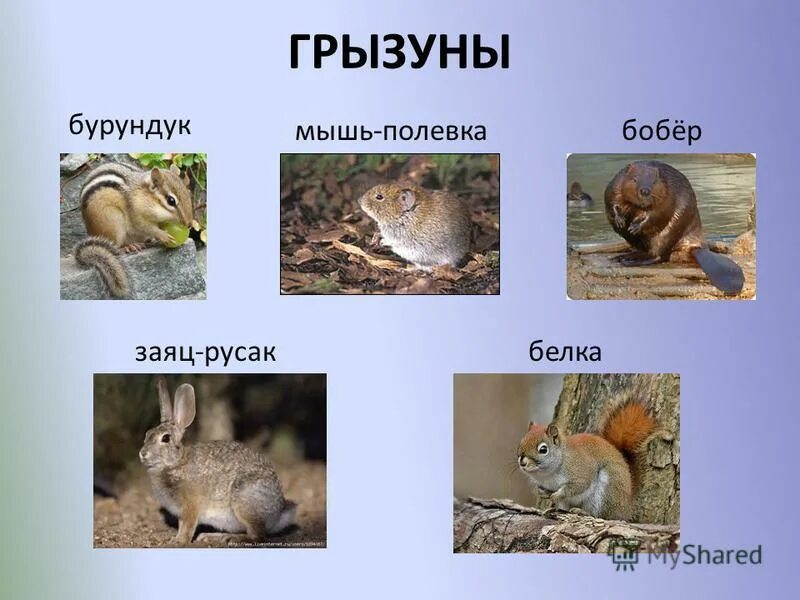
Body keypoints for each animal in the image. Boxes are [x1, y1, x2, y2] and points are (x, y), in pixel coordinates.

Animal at [74, 162, 194, 298]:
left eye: (188, 193)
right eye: (171, 201)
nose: (189, 224)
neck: (143, 195)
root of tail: (90, 232)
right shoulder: (136, 216)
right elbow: (147, 227)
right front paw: (163, 236)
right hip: (113, 222)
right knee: (115, 244)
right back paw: (128, 246)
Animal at [139, 377, 297, 545]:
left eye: (165, 438)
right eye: (147, 434)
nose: (142, 454)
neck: (176, 463)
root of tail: (279, 512)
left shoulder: (191, 506)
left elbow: (188, 526)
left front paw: (178, 541)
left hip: (243, 501)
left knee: (257, 535)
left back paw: (230, 539)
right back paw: (211, 536)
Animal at [517, 399, 657, 521]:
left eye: (543, 449)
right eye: (521, 442)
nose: (522, 462)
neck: (547, 475)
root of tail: (627, 508)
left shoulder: (580, 471)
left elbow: (577, 486)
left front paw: (557, 495)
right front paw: (542, 492)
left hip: (607, 492)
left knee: (602, 515)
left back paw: (583, 512)